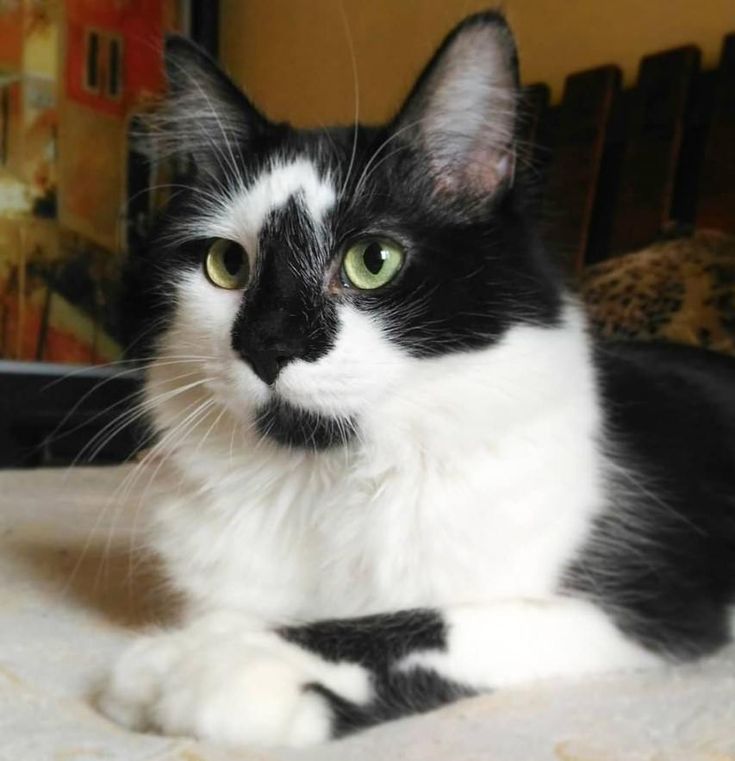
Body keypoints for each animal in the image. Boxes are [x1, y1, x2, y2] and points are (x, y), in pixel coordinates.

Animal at [100, 11, 735, 748]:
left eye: (373, 261)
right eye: (227, 265)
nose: (267, 343)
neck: (324, 487)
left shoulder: (639, 611)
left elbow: (423, 622)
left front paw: (222, 664)